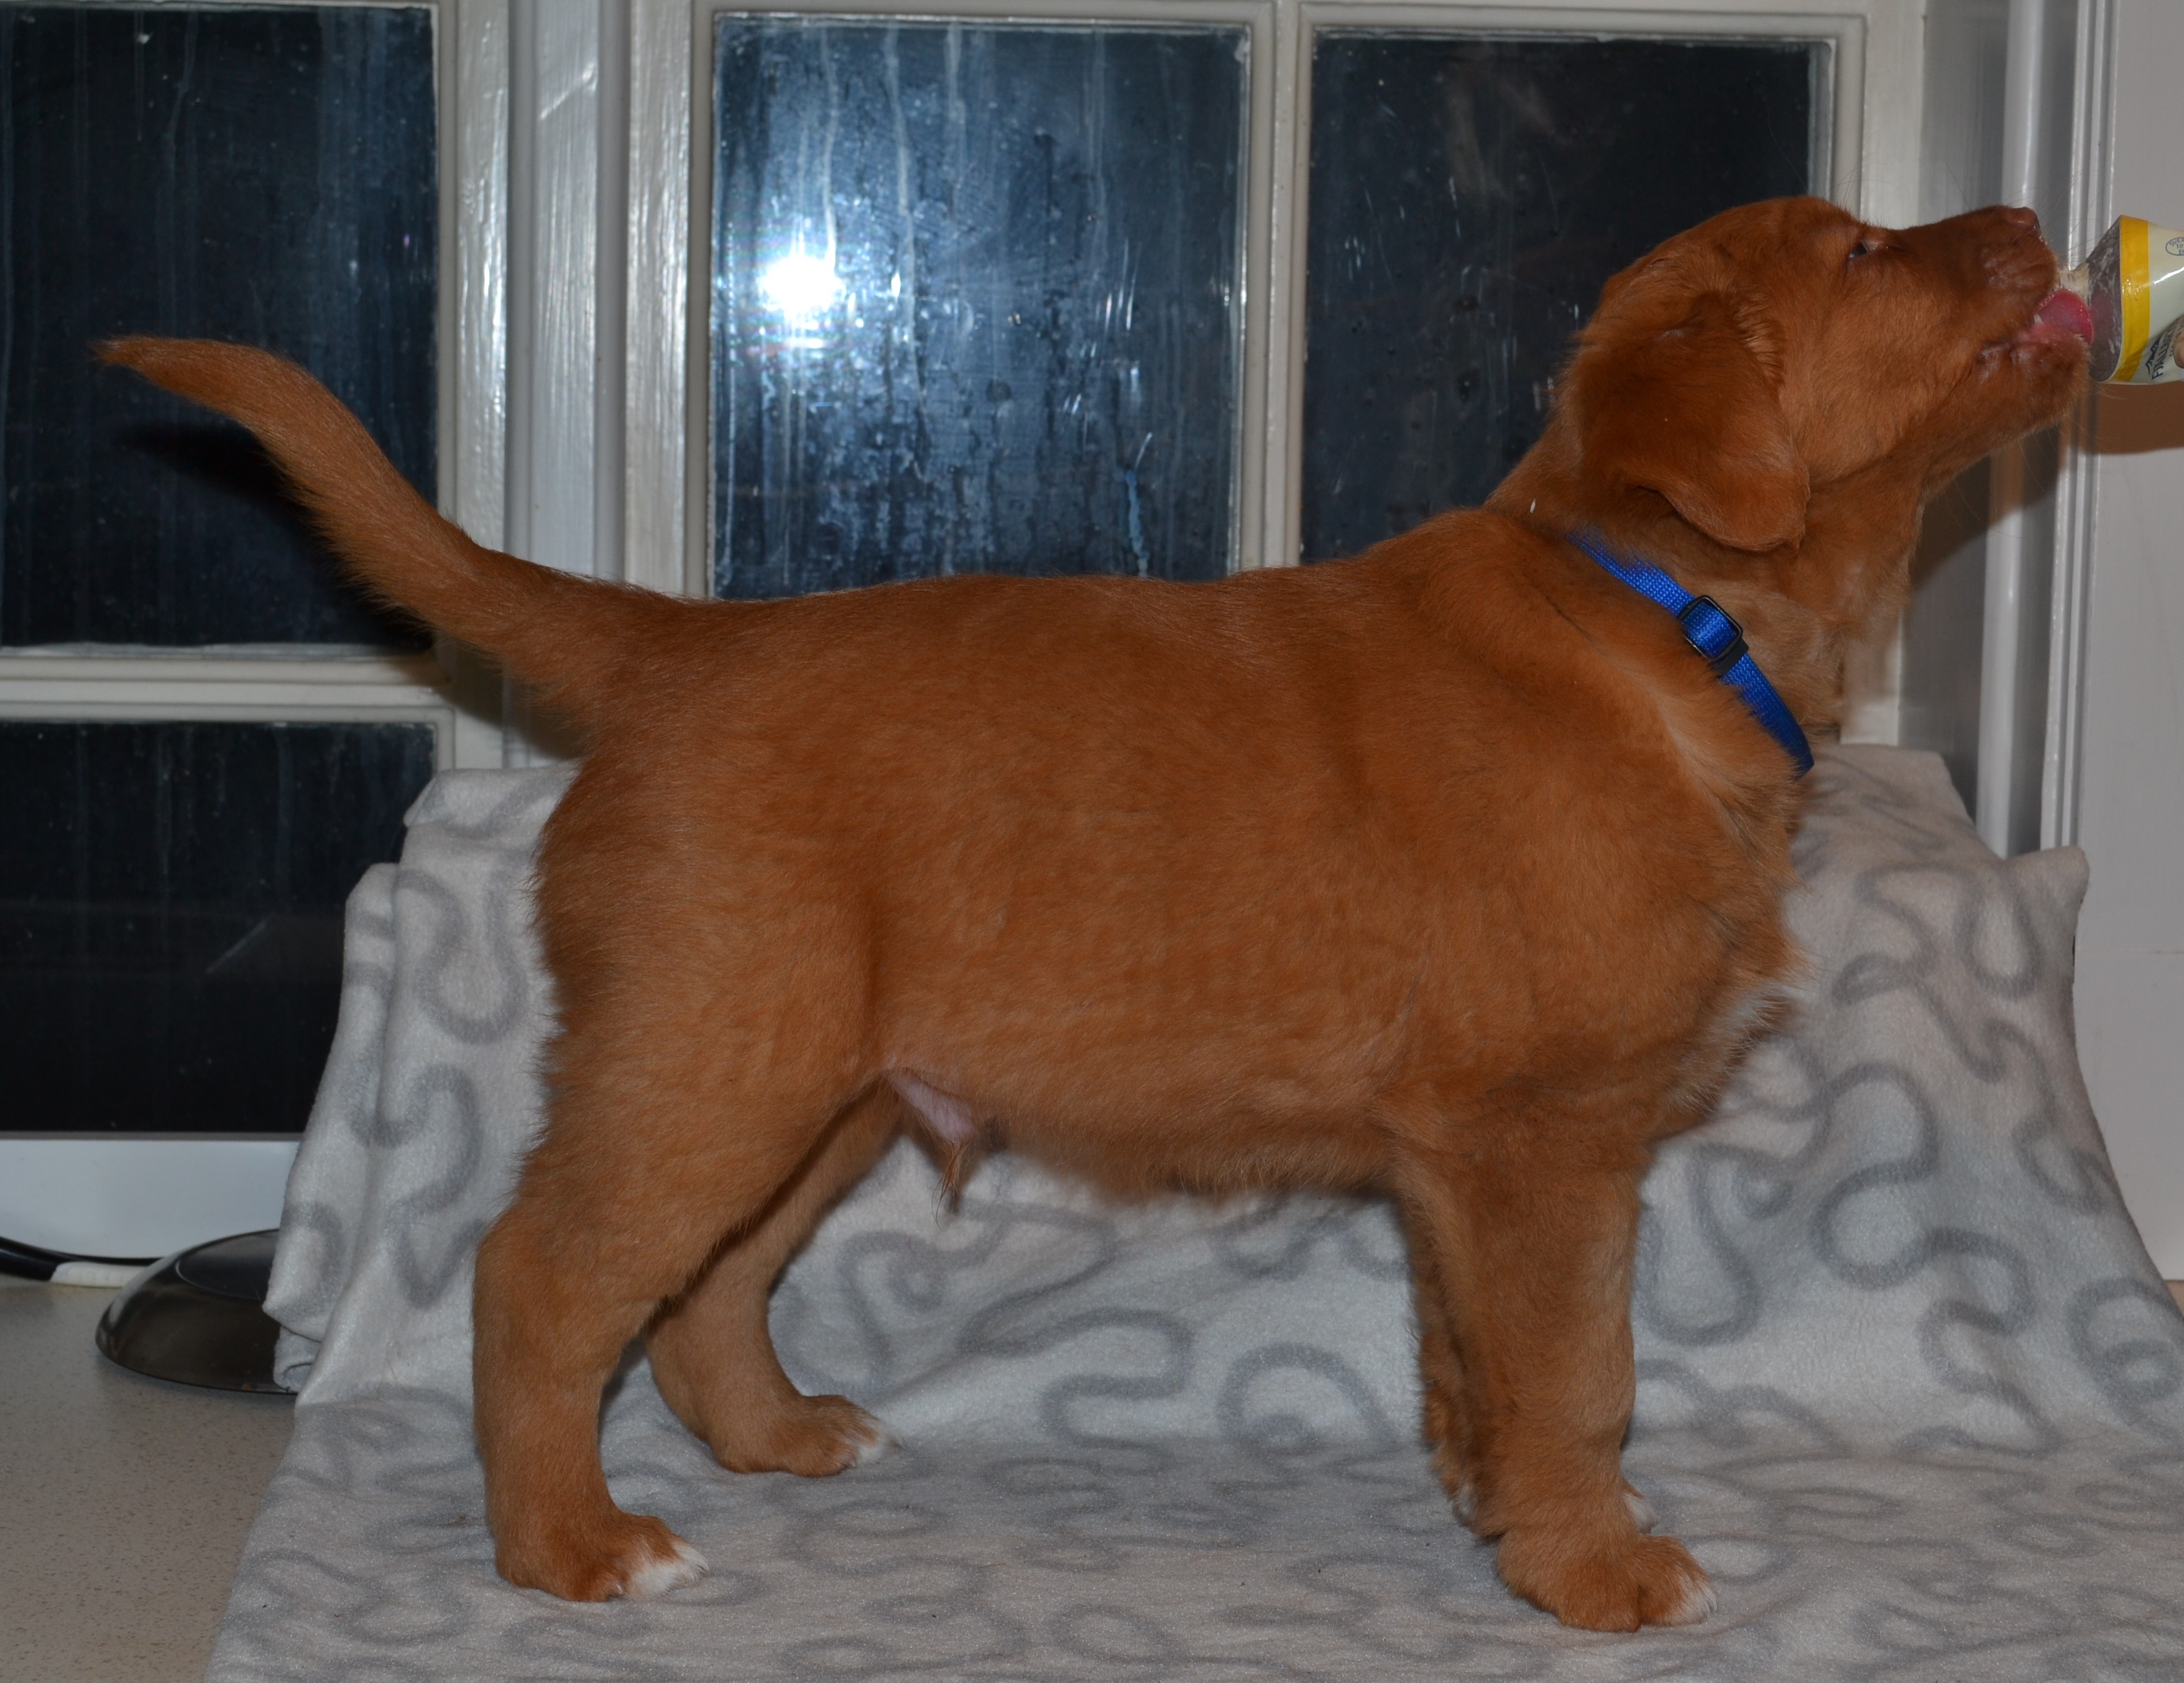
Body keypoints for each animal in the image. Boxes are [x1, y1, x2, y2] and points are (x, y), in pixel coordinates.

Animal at [104, 194, 2089, 1630]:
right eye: (1860, 251)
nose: (2023, 215)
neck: (1660, 614)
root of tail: (675, 644)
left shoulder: (1459, 1157)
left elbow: (1470, 1355)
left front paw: (1484, 1501)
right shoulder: (1549, 1139)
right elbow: (1584, 1369)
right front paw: (1599, 1568)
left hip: (818, 1086)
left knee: (706, 1286)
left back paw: (781, 1437)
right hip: (709, 1056)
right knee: (542, 1274)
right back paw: (573, 1547)